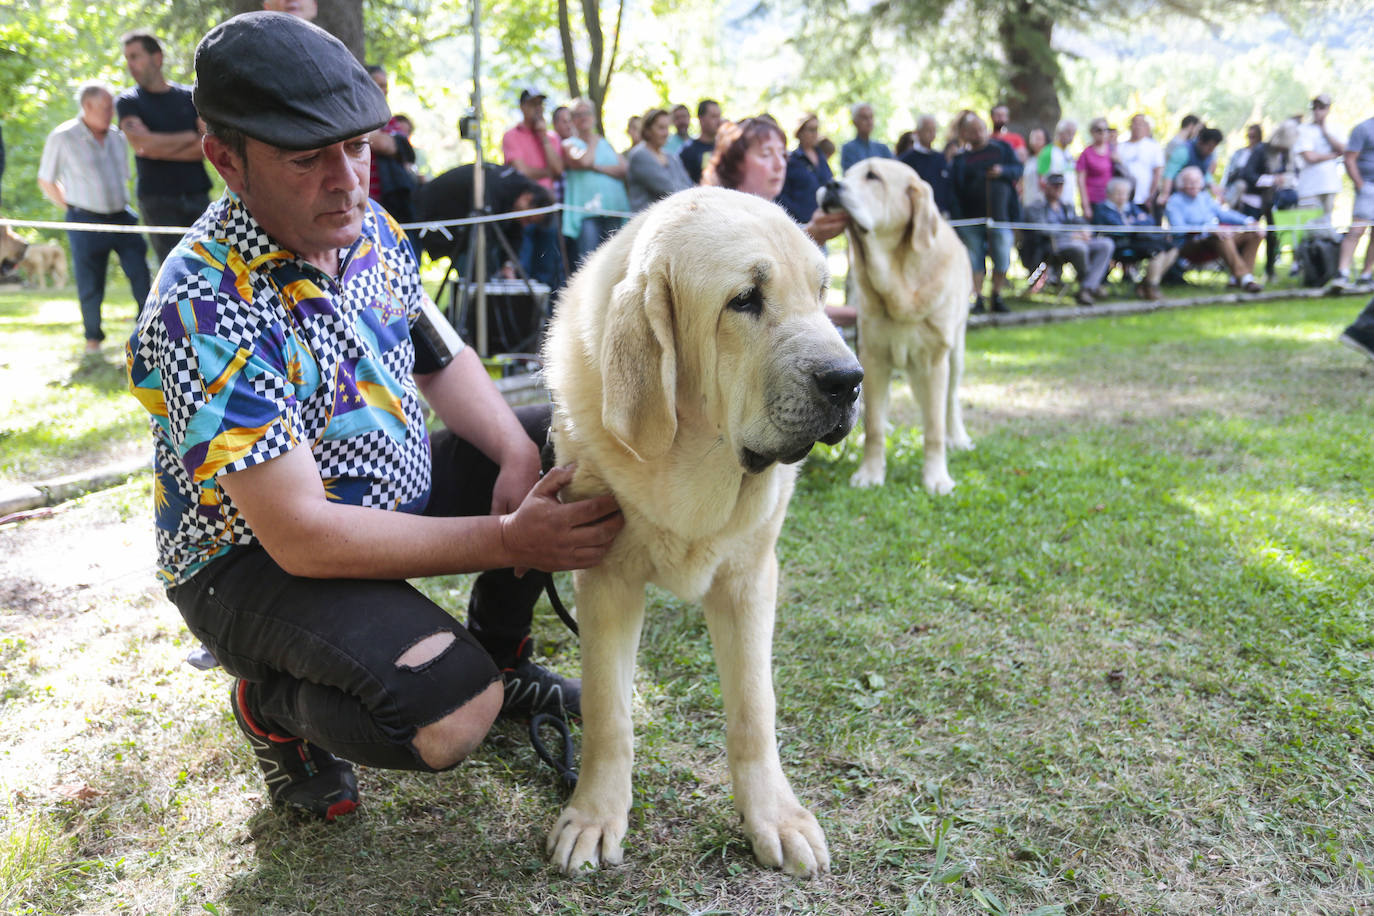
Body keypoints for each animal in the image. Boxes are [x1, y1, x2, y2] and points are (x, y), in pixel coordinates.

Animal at [538, 184, 851, 873]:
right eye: (745, 300)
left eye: (821, 291)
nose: (849, 380)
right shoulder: (605, 580)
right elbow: (608, 712)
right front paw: (593, 815)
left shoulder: (749, 579)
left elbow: (754, 711)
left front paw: (775, 817)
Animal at [818, 157, 972, 494]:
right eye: (846, 173)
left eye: (873, 177)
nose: (832, 183)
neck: (900, 281)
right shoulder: (873, 358)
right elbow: (874, 424)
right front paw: (870, 473)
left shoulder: (934, 361)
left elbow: (934, 426)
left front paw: (936, 477)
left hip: (956, 354)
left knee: (951, 401)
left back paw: (958, 437)